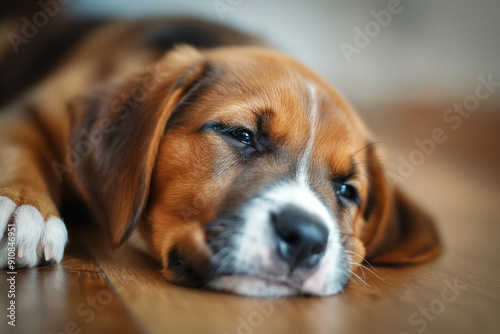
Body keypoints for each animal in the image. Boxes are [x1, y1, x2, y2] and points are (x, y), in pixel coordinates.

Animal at [0, 17, 438, 296]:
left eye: (348, 190)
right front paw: (23, 206)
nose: (306, 238)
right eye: (241, 135)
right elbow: (17, 146)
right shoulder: (31, 108)